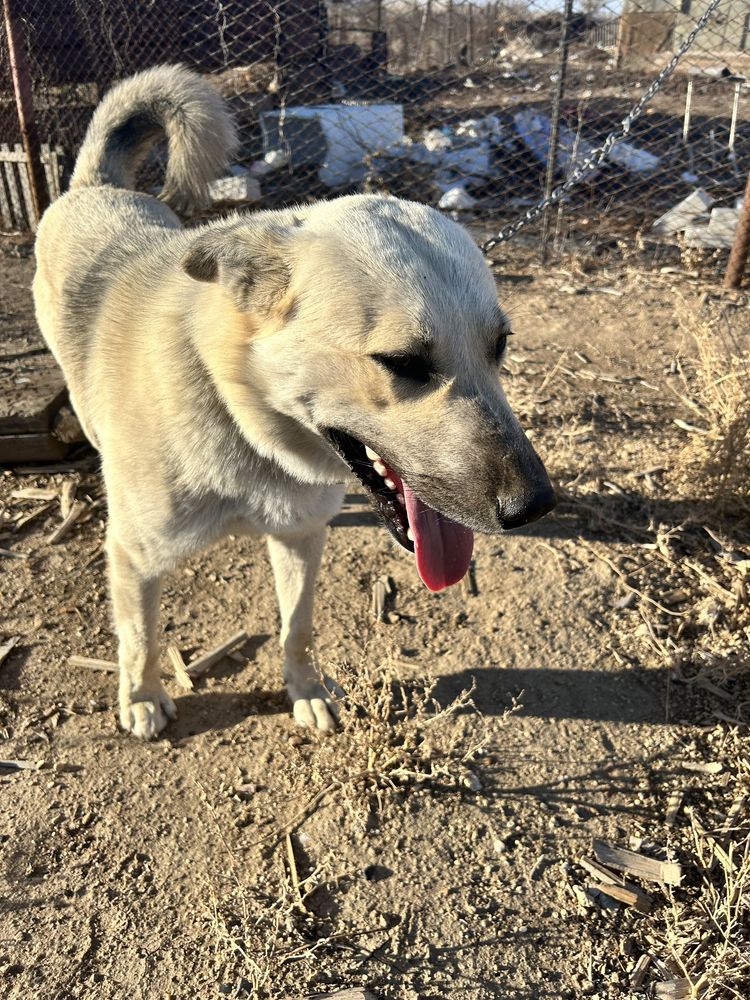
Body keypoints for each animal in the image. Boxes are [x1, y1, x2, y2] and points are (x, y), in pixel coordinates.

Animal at [32, 60, 556, 736]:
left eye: (500, 345)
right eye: (402, 363)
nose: (535, 505)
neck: (241, 420)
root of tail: (94, 187)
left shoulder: (302, 536)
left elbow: (298, 627)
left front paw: (305, 690)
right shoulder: (135, 558)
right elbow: (141, 637)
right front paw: (143, 697)